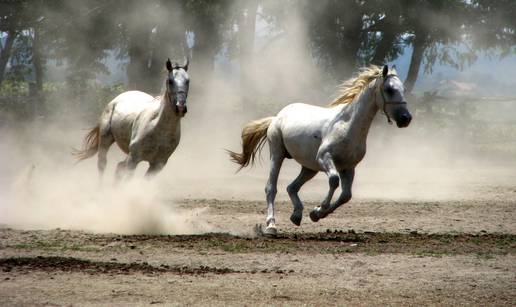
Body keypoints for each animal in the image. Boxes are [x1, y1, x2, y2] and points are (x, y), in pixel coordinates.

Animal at [229, 64, 412, 233]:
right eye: (389, 89)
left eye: (403, 89)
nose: (406, 118)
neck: (347, 124)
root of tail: (277, 117)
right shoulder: (325, 158)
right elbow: (334, 181)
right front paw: (320, 208)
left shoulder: (348, 167)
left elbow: (346, 195)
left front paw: (316, 214)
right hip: (277, 154)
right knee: (271, 188)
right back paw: (271, 225)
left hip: (309, 168)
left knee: (292, 187)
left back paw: (297, 215)